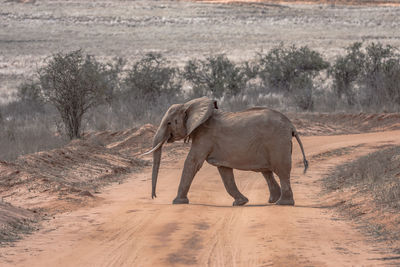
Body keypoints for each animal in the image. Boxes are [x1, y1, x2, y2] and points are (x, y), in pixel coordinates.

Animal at [142, 97, 308, 206]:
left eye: (169, 123)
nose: (154, 196)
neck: (189, 104)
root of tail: (291, 125)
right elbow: (224, 171)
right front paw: (241, 202)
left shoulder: (205, 135)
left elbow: (193, 162)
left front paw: (177, 202)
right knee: (267, 171)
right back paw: (273, 201)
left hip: (277, 142)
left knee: (282, 170)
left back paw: (283, 203)